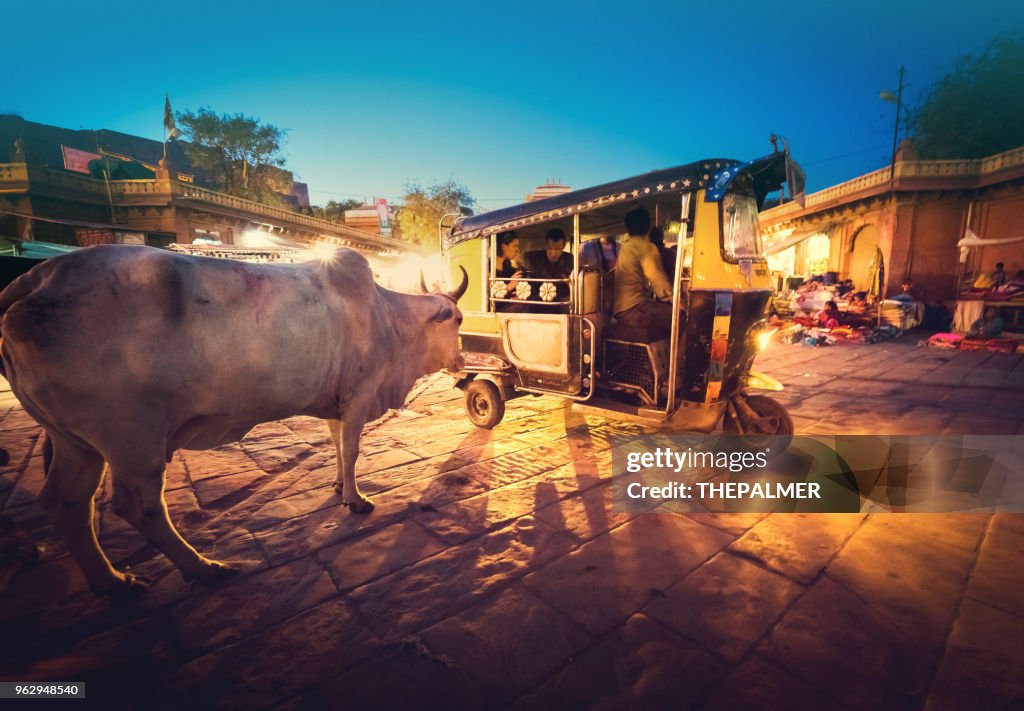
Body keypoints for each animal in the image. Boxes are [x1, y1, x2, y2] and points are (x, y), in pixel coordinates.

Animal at [0, 244, 468, 594]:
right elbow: (351, 449)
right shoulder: (360, 394)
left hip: (75, 442)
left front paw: (338, 486)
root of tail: (36, 278)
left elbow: (336, 445)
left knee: (66, 503)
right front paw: (354, 500)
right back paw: (203, 569)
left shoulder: (337, 402)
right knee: (139, 506)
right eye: (459, 319)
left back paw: (113, 582)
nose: (463, 360)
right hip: (132, 439)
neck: (388, 318)